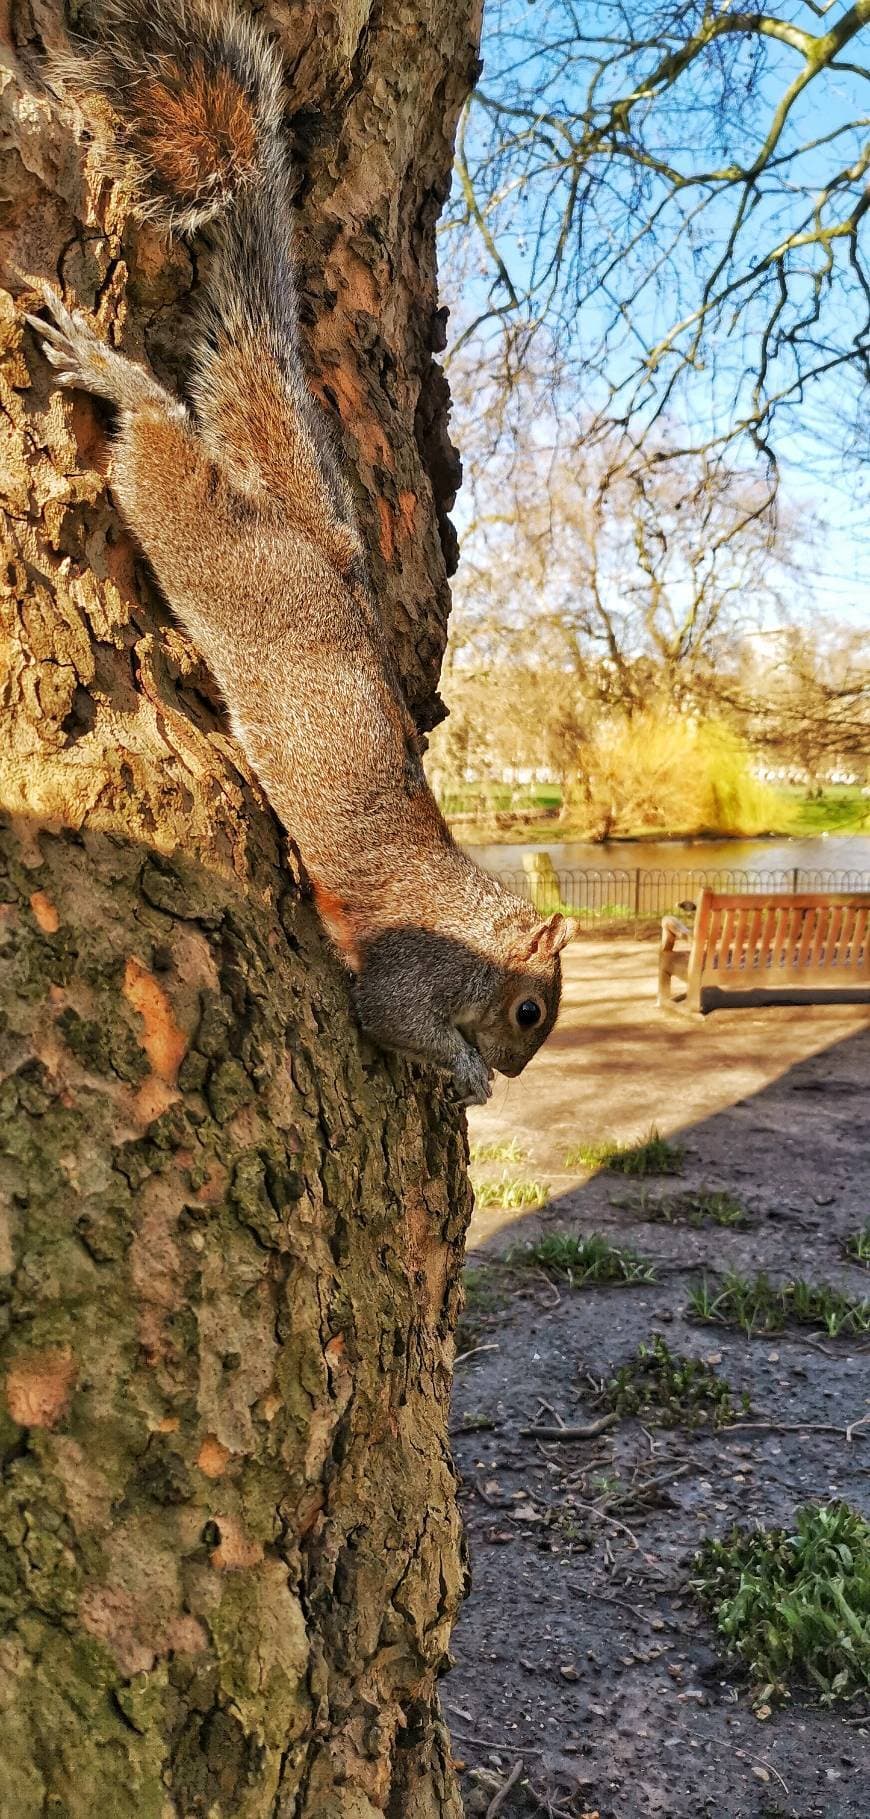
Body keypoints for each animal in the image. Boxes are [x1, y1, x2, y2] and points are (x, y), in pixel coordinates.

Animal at [28, 0, 578, 1105]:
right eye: (529, 1012)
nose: (516, 1066)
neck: (470, 924)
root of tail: (309, 543)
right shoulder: (414, 971)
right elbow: (391, 1018)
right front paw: (468, 1072)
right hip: (199, 535)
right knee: (158, 441)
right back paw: (111, 374)